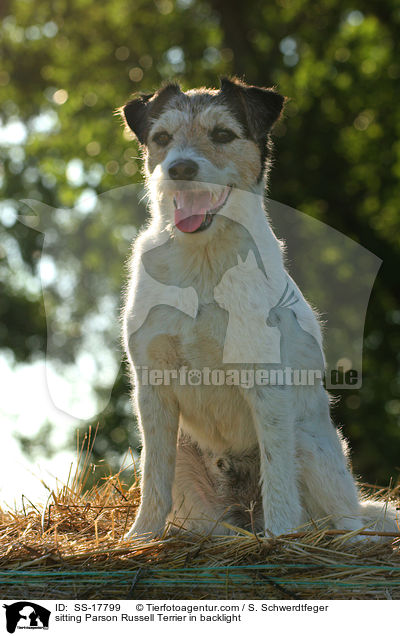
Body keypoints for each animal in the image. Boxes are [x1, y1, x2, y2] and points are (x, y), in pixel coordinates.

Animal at [120, 77, 398, 540]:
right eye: (161, 138)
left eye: (221, 135)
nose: (180, 169)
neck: (203, 263)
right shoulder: (152, 387)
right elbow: (153, 477)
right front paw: (140, 537)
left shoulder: (265, 382)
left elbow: (277, 475)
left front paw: (282, 538)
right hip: (192, 473)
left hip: (308, 442)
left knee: (345, 520)